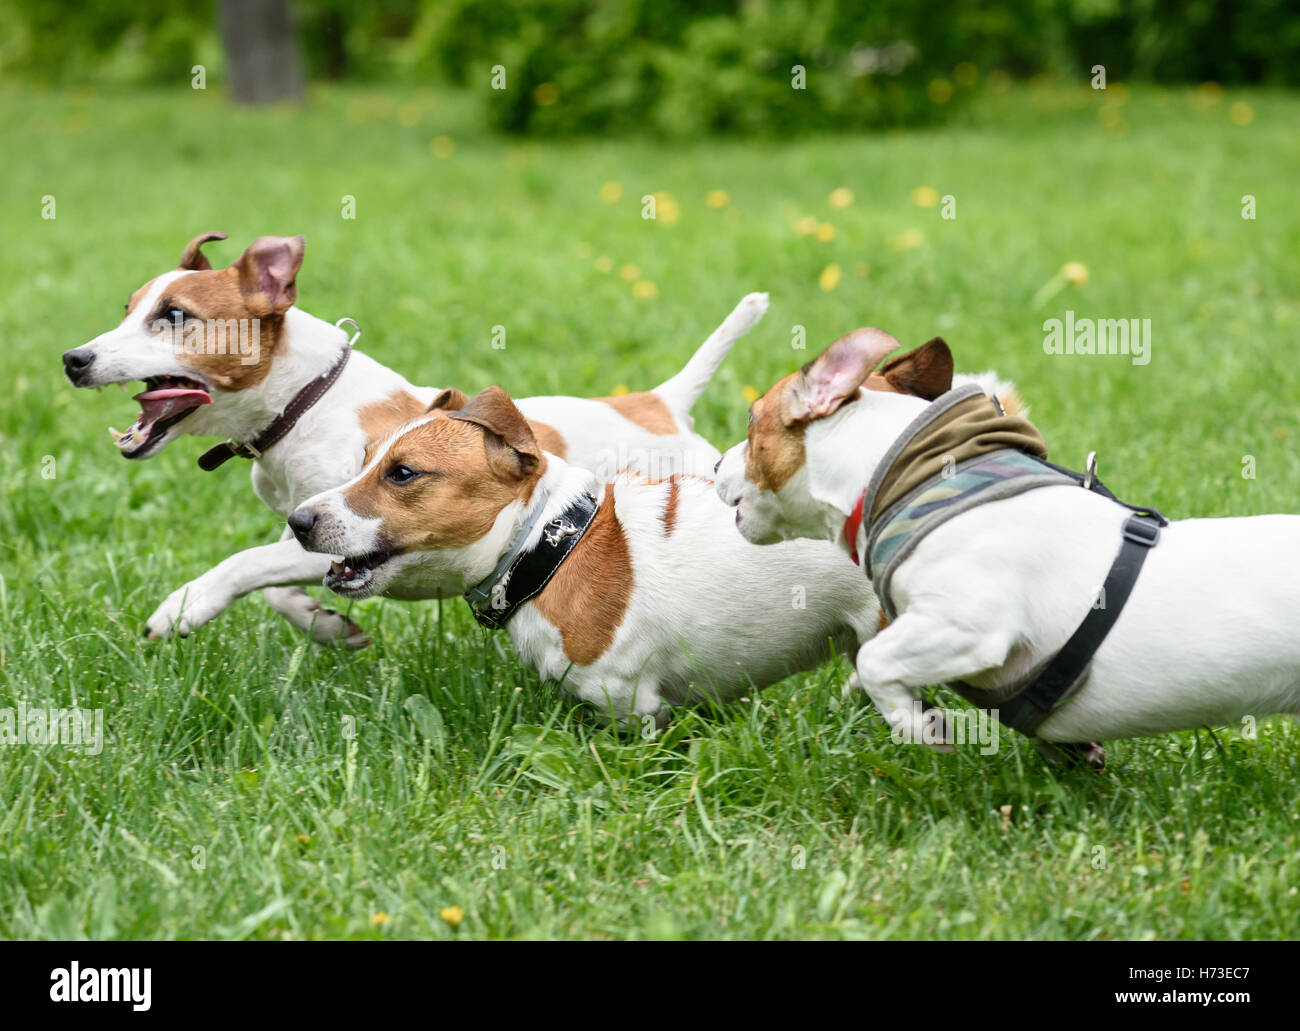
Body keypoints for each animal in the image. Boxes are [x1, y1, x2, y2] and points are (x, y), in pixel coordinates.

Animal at [61, 234, 764, 652]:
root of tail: (662, 402)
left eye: (174, 316)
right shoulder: (315, 529)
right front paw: (327, 626)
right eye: (128, 309)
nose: (74, 358)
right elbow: (281, 581)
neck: (307, 399)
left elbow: (248, 563)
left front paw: (184, 606)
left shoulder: (356, 527)